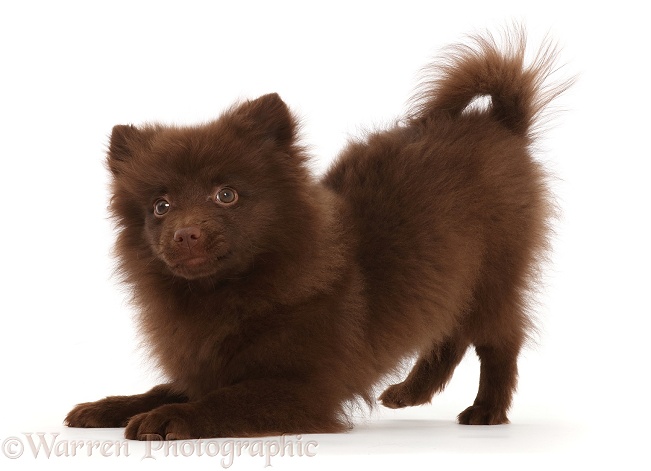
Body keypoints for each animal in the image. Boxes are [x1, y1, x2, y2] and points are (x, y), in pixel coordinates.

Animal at [63, 30, 568, 442]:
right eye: (160, 207)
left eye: (226, 195)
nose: (185, 234)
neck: (228, 291)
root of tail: (500, 124)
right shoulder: (207, 367)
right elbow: (164, 388)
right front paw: (109, 406)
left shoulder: (303, 388)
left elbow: (224, 400)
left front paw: (168, 417)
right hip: (450, 277)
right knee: (448, 334)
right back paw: (410, 392)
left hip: (493, 277)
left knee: (499, 340)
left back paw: (486, 409)